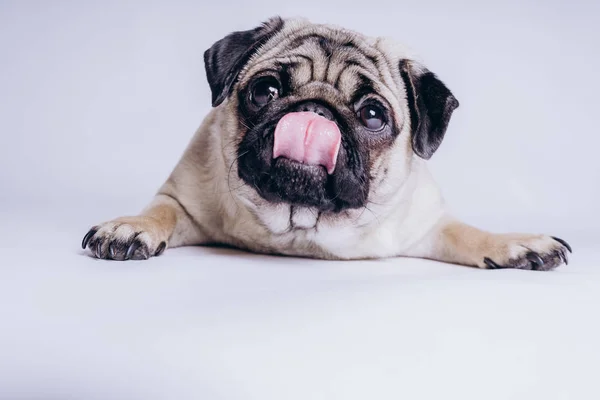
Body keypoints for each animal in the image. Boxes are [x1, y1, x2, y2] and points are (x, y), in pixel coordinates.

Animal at [81, 17, 572, 270]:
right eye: (265, 91)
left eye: (373, 115)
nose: (316, 112)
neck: (300, 226)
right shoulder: (181, 200)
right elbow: (160, 211)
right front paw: (131, 227)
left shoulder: (426, 225)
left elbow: (466, 233)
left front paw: (516, 243)